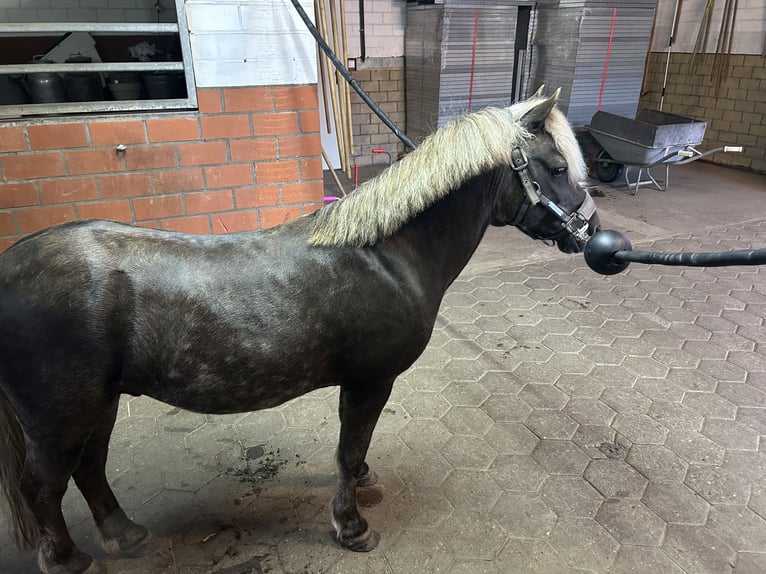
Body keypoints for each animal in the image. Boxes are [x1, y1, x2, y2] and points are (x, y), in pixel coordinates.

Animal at [0, 89, 600, 574]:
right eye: (555, 166)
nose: (592, 232)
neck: (386, 255)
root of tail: (9, 267)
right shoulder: (369, 382)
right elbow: (346, 450)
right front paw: (351, 528)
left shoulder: (361, 386)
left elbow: (354, 448)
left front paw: (362, 483)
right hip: (60, 417)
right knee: (43, 486)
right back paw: (68, 559)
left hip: (97, 405)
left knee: (89, 469)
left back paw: (124, 536)